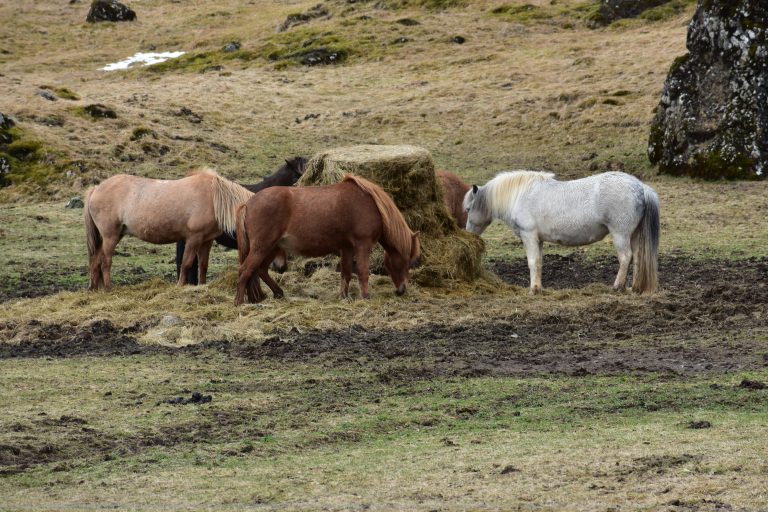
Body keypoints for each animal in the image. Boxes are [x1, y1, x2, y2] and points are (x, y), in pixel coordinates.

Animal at [84, 167, 252, 290]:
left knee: (95, 259)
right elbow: (186, 263)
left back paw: (94, 288)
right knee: (105, 261)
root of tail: (96, 189)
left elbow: (203, 265)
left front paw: (202, 285)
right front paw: (180, 285)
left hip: (115, 235)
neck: (213, 197)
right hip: (110, 236)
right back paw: (109, 288)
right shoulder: (194, 238)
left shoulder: (206, 240)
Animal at [237, 174, 424, 306]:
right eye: (407, 260)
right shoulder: (362, 245)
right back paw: (239, 303)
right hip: (262, 248)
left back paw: (277, 293)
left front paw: (344, 297)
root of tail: (248, 203)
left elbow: (346, 272)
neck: (371, 204)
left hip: (271, 248)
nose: (402, 290)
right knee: (245, 271)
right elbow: (363, 271)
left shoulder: (347, 248)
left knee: (260, 270)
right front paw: (365, 296)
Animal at [462, 171, 660, 294]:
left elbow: (532, 262)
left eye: (468, 209)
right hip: (633, 236)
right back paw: (634, 287)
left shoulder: (529, 236)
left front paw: (533, 289)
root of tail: (640, 187)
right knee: (638, 258)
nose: (468, 233)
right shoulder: (538, 240)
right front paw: (538, 287)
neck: (520, 195)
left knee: (626, 257)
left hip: (620, 235)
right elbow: (539, 262)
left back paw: (618, 286)